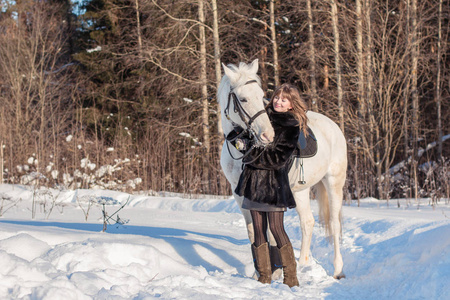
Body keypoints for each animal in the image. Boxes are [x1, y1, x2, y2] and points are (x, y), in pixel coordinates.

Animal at [218, 59, 348, 280]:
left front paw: (276, 272)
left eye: (261, 95)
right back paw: (303, 265)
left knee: (334, 223)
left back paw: (338, 269)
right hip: (301, 191)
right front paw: (261, 274)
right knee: (307, 222)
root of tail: (333, 126)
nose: (268, 135)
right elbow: (255, 232)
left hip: (334, 182)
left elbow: (271, 233)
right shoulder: (240, 195)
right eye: (243, 99)